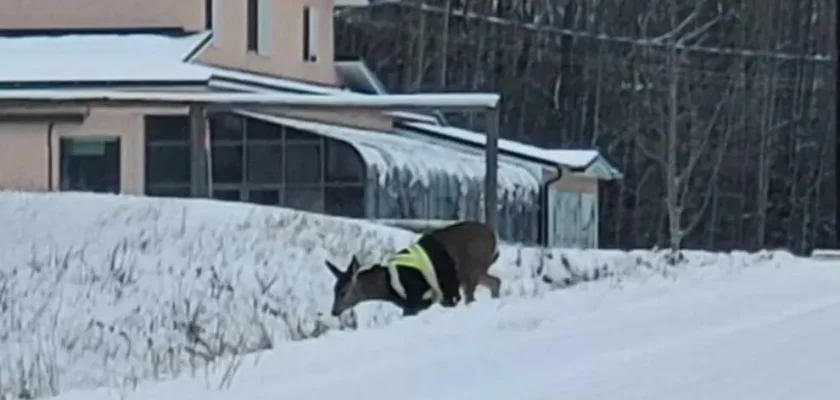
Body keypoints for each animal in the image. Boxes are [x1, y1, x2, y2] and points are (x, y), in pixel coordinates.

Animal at [324, 220, 502, 318]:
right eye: (334, 289)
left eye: (343, 292)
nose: (333, 311)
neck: (387, 285)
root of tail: (493, 235)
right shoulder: (416, 303)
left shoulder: (418, 296)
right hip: (472, 272)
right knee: (495, 282)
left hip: (472, 267)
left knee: (472, 297)